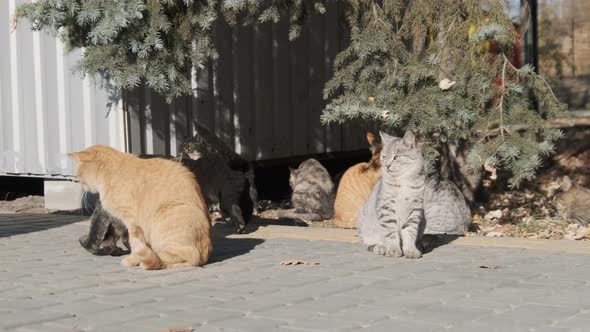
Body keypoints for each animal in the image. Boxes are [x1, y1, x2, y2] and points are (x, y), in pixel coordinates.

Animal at [69, 145, 213, 270]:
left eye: (79, 173)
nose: (78, 180)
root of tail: (204, 257)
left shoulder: (132, 221)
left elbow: (135, 243)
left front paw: (133, 259)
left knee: (184, 256)